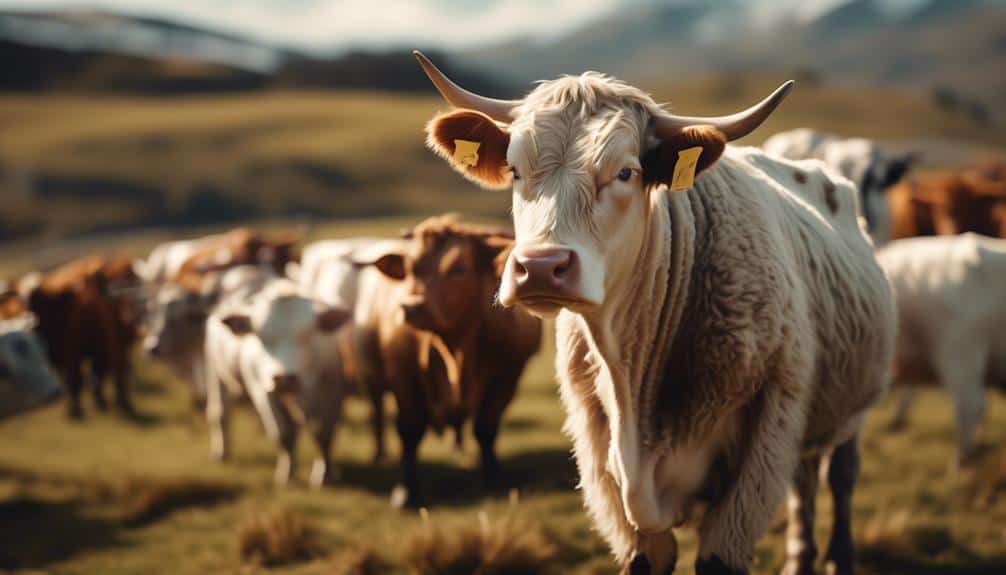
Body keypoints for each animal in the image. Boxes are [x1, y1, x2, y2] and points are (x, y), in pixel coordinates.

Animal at [22, 256, 143, 419]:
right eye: (27, 305)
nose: (30, 324)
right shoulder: (65, 356)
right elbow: (72, 380)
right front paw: (75, 409)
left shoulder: (79, 352)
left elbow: (79, 378)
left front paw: (78, 410)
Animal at [203, 274, 351, 487]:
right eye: (262, 337)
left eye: (308, 335)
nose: (285, 378)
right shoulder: (262, 390)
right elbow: (282, 433)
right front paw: (286, 474)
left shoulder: (331, 388)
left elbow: (323, 432)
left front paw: (324, 474)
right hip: (214, 371)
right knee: (219, 413)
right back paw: (221, 452)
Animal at [347, 215, 542, 508]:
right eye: (410, 269)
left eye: (458, 269)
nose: (411, 307)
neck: (454, 349)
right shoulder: (403, 376)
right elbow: (410, 430)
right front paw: (407, 492)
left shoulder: (507, 375)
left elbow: (486, 427)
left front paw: (493, 477)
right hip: (372, 377)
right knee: (378, 413)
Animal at [414, 52, 896, 575]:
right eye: (515, 170)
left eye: (625, 172)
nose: (540, 267)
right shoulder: (607, 472)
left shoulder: (758, 453)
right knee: (804, 482)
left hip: (851, 410)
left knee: (839, 478)